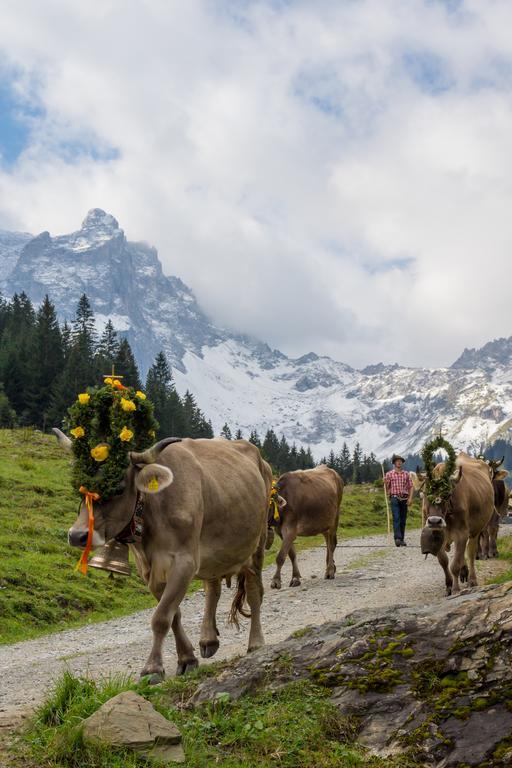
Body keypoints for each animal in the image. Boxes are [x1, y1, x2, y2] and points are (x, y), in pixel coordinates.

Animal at [54, 380, 274, 684]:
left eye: (118, 488)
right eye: (80, 487)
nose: (77, 536)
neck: (152, 510)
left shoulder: (184, 561)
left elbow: (160, 617)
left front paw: (152, 669)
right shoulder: (149, 569)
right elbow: (173, 614)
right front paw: (187, 658)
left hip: (255, 544)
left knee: (254, 591)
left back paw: (256, 642)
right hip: (212, 550)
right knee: (213, 587)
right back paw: (208, 639)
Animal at [268, 464, 344, 592]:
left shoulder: (290, 529)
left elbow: (281, 556)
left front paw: (276, 581)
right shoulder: (281, 531)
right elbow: (292, 554)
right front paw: (295, 578)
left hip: (335, 517)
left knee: (332, 544)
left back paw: (330, 571)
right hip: (324, 521)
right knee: (328, 542)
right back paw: (331, 567)